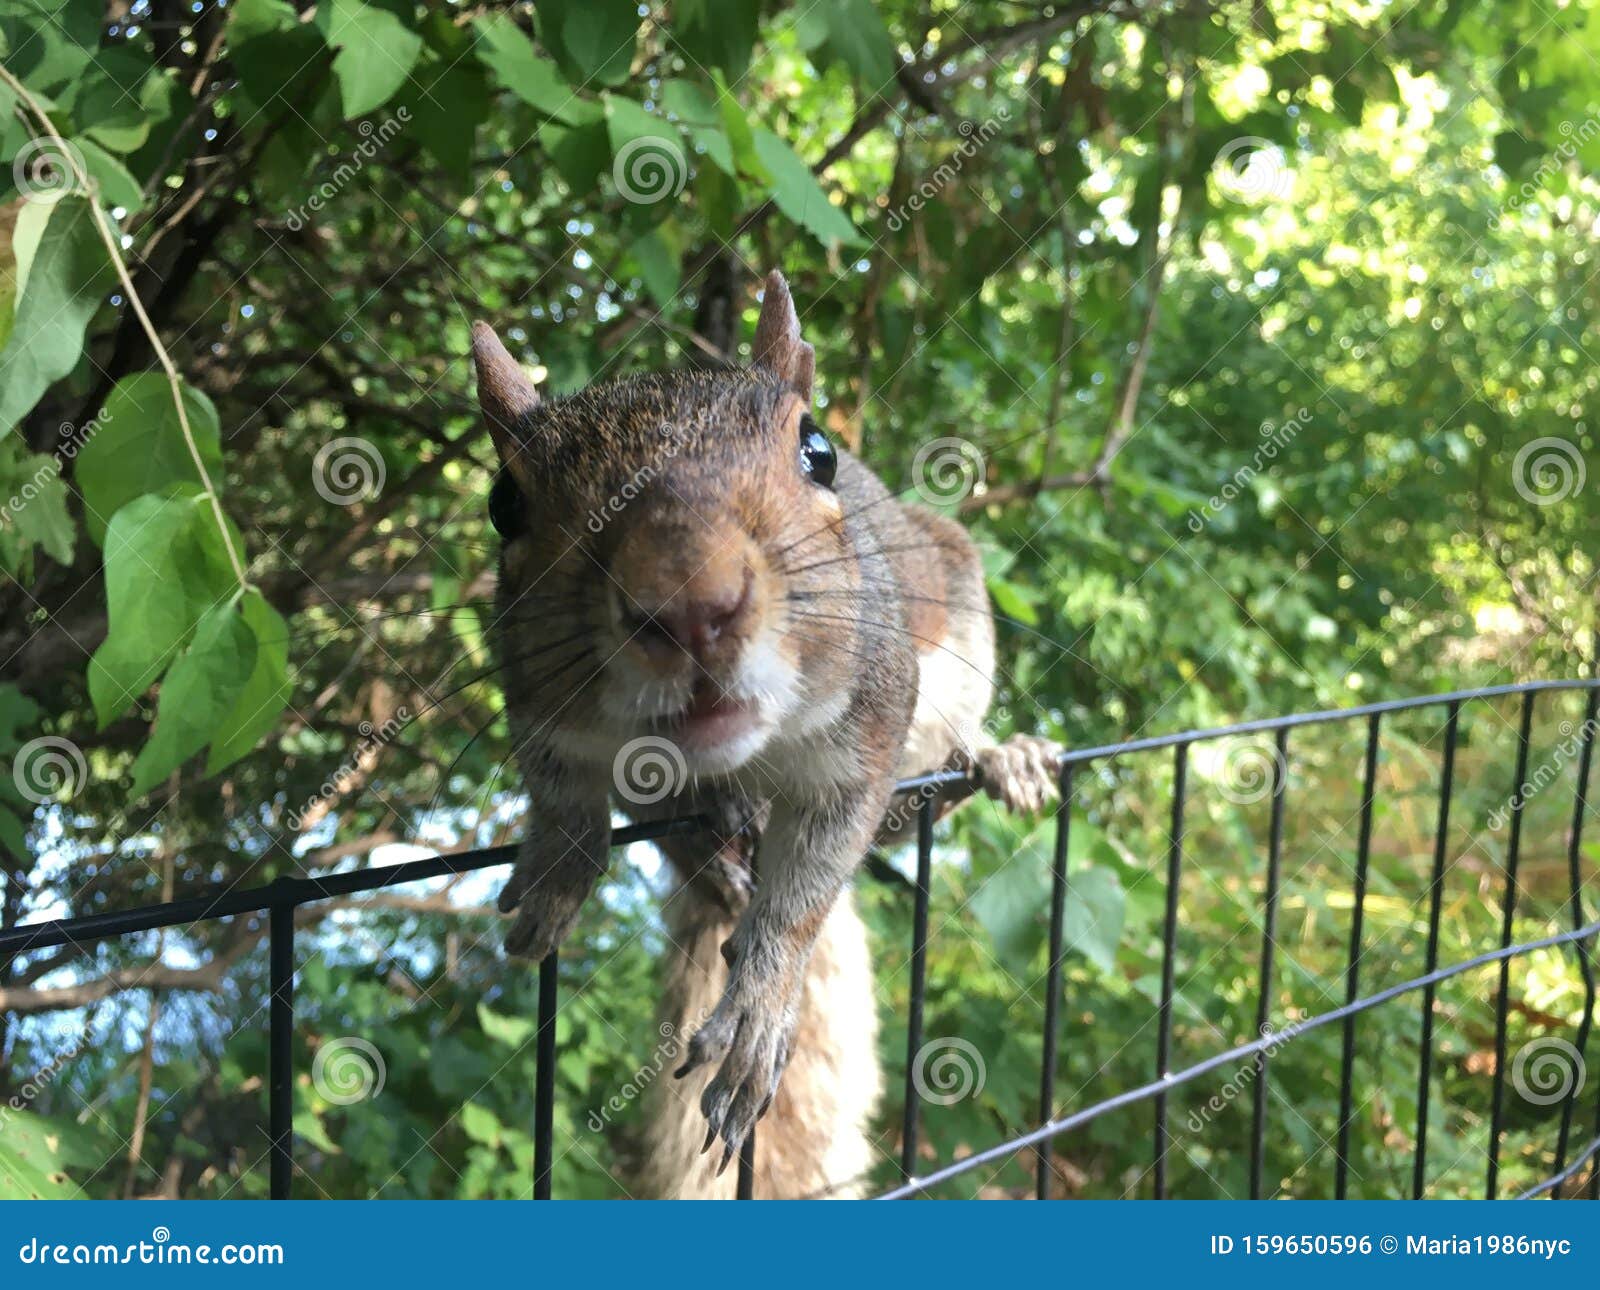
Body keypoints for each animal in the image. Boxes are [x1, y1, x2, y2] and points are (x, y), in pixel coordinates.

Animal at [472, 270, 1062, 1197]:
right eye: (505, 505)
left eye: (817, 450)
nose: (688, 604)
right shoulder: (536, 700)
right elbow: (565, 799)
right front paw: (562, 866)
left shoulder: (871, 717)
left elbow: (809, 887)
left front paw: (760, 1001)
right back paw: (715, 841)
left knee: (909, 814)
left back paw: (998, 762)